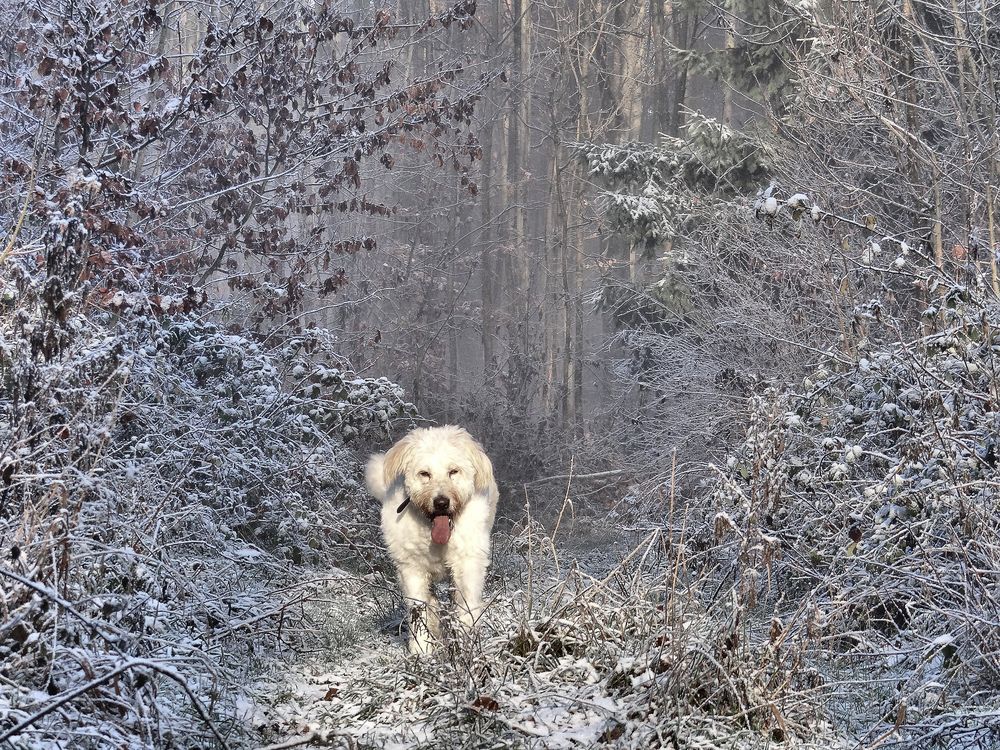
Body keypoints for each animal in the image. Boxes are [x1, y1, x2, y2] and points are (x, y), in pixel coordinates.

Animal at [366, 426, 498, 656]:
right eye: (424, 473)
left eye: (453, 471)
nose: (442, 502)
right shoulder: (412, 569)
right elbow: (419, 610)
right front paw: (422, 649)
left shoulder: (468, 565)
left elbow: (466, 608)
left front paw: (465, 647)